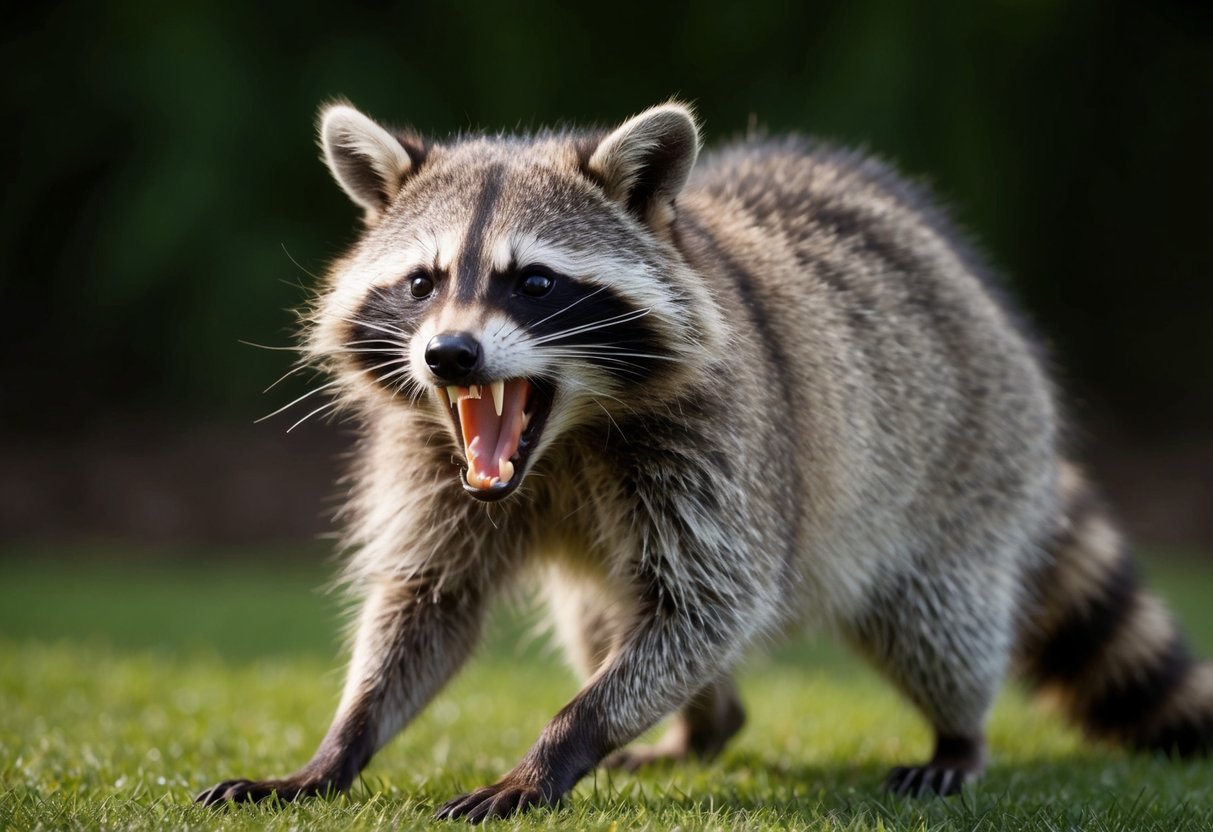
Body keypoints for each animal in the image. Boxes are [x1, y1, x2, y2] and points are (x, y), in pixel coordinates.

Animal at [196, 102, 1213, 820]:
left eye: (534, 283)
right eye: (422, 282)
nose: (449, 356)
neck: (564, 434)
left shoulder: (722, 440)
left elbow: (712, 603)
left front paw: (562, 741)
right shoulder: (431, 454)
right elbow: (426, 602)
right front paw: (341, 743)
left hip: (971, 458)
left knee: (933, 621)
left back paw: (958, 734)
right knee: (602, 617)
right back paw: (704, 724)